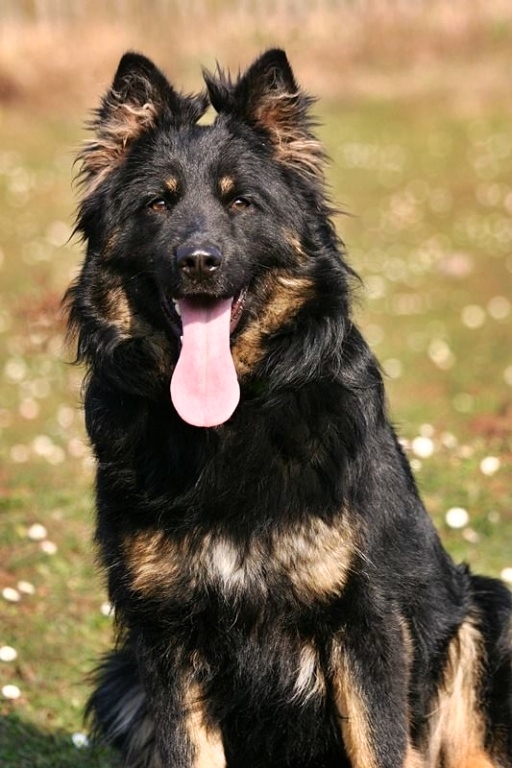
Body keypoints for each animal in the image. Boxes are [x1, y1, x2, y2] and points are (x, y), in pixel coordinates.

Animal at [65, 49, 512, 768]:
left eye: (240, 202)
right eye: (158, 202)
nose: (198, 261)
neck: (229, 426)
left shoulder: (366, 623)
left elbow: (379, 743)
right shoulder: (165, 641)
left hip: (481, 611)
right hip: (121, 679)